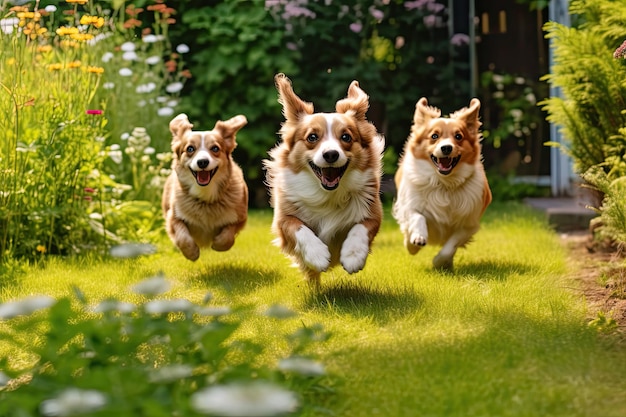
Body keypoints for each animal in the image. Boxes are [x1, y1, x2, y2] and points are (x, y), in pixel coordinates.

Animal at [162, 112, 247, 258]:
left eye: (215, 148)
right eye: (190, 148)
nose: (202, 162)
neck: (205, 196)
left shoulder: (240, 218)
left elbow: (228, 236)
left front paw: (218, 244)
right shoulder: (172, 217)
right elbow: (182, 237)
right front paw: (192, 253)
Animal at [260, 72, 382, 286]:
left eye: (346, 137)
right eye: (312, 137)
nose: (331, 154)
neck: (327, 195)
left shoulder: (374, 212)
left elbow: (361, 227)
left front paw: (353, 255)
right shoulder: (282, 221)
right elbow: (298, 227)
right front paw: (317, 254)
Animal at [392, 97, 490, 270]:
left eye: (458, 136)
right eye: (434, 136)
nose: (446, 148)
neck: (443, 183)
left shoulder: (469, 224)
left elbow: (451, 245)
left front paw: (440, 262)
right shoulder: (408, 205)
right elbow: (417, 217)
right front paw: (416, 240)